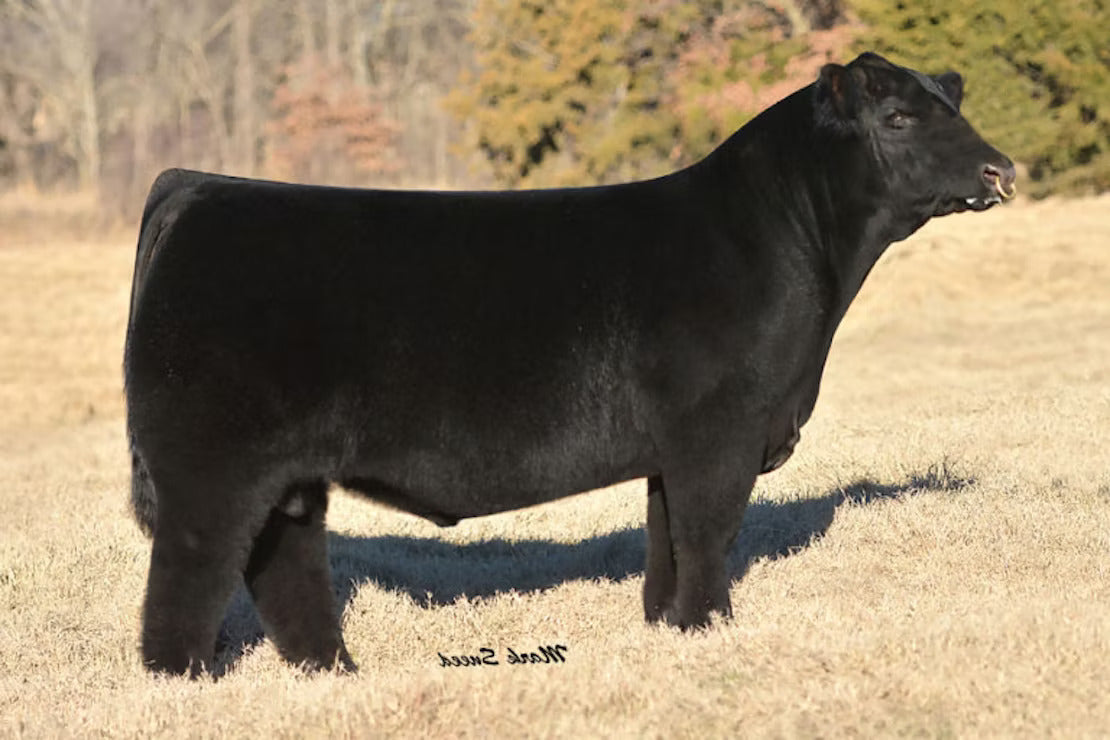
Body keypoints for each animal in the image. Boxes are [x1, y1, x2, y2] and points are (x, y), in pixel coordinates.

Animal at [124, 52, 1016, 676]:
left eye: (953, 107)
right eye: (897, 117)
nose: (1000, 169)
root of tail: (200, 186)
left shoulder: (676, 447)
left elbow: (665, 539)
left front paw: (668, 628)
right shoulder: (720, 433)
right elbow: (707, 534)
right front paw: (712, 630)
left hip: (290, 475)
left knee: (287, 566)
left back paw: (333, 673)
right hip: (211, 464)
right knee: (191, 571)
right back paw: (186, 682)